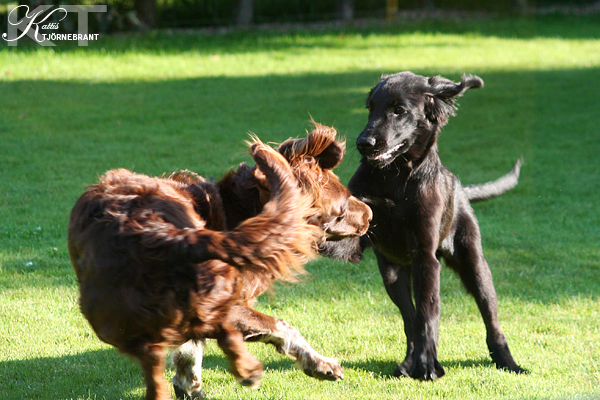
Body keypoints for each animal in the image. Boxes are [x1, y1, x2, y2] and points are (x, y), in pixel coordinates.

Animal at [70, 125, 370, 400]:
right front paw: (322, 365)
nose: (370, 214)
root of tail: (150, 231)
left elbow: (188, 354)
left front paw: (188, 386)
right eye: (342, 207)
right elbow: (281, 328)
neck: (240, 209)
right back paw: (251, 369)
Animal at [324, 72, 524, 382]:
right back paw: (408, 363)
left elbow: (429, 314)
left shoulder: (426, 256)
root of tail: (460, 190)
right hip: (392, 274)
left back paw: (508, 362)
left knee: (489, 320)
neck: (396, 178)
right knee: (409, 317)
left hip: (474, 266)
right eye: (371, 108)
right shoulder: (357, 239)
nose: (363, 143)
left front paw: (428, 364)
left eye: (399, 110)